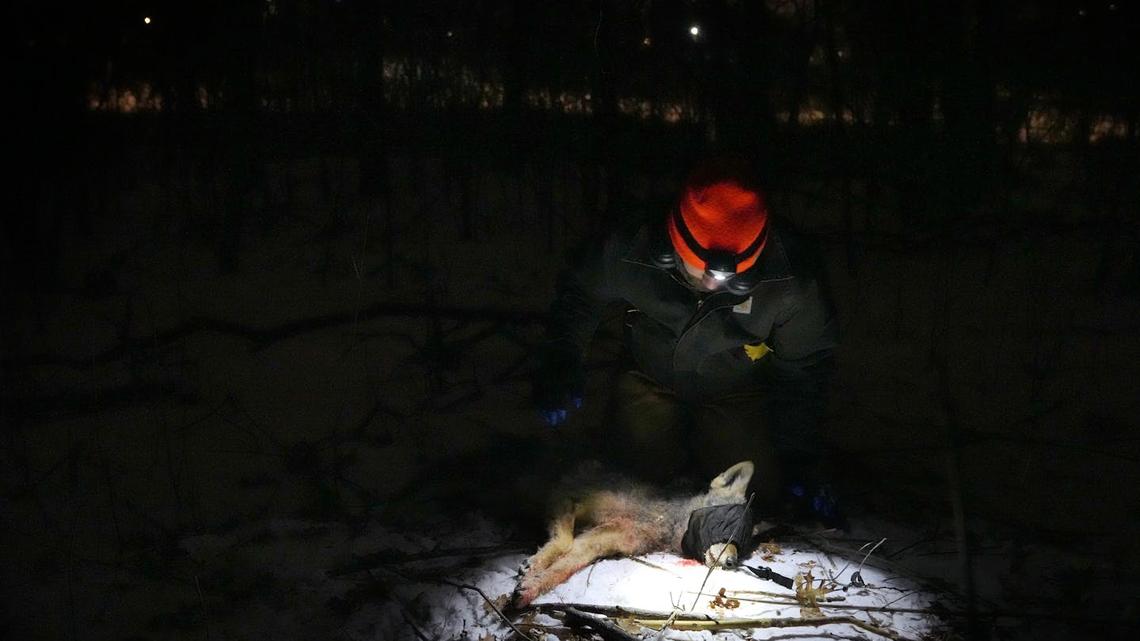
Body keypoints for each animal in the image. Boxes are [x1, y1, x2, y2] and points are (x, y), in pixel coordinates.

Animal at [514, 460, 755, 607]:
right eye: (728, 525)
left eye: (741, 546)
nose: (732, 562)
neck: (661, 518)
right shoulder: (568, 496)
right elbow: (563, 542)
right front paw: (534, 564)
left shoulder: (595, 543)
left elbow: (562, 567)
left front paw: (531, 586)